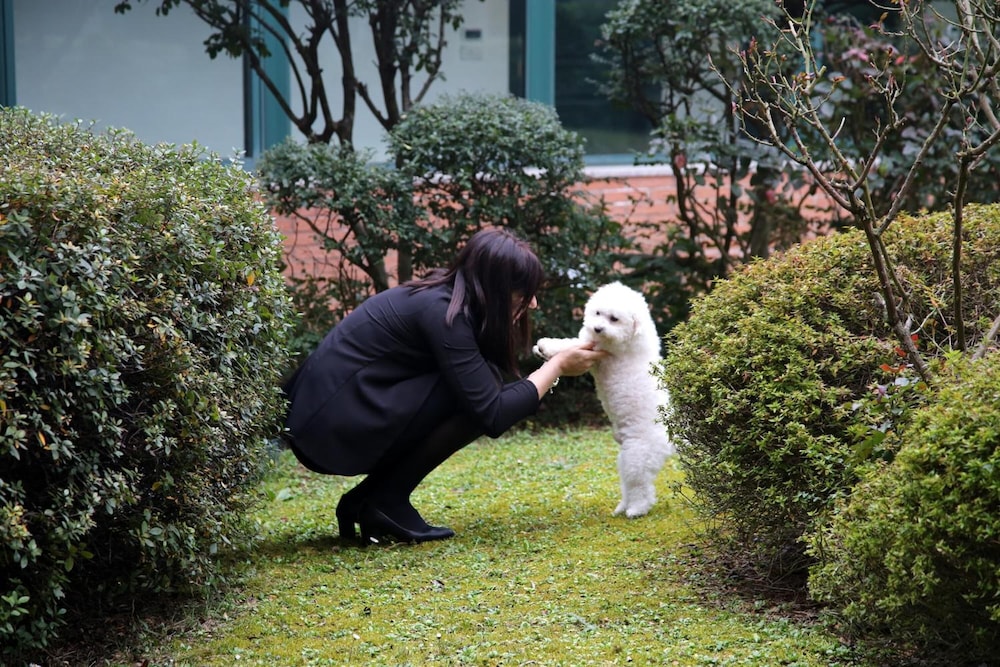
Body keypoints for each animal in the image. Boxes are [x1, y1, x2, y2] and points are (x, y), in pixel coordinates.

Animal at [533, 282, 674, 517]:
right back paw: (622, 507)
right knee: (629, 484)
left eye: (614, 319)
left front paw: (547, 347)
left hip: (638, 456)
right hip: (626, 458)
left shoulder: (598, 349)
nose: (597, 328)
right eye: (597, 313)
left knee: (641, 487)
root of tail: (671, 441)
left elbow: (571, 345)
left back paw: (636, 510)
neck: (631, 336)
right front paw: (540, 349)